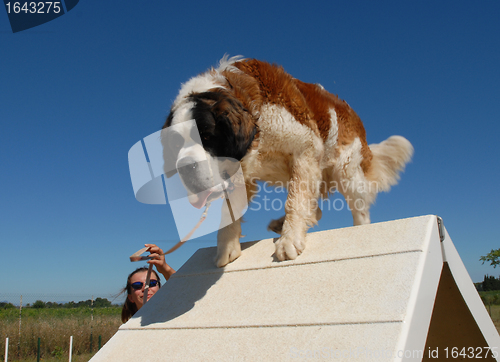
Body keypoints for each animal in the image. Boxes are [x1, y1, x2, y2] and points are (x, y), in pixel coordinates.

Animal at [162, 55, 412, 268]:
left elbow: (295, 200)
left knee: (359, 208)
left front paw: (289, 240)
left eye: (206, 137)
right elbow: (230, 209)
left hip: (347, 170)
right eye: (175, 146)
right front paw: (227, 247)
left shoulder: (305, 149)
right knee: (316, 208)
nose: (186, 167)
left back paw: (357, 229)